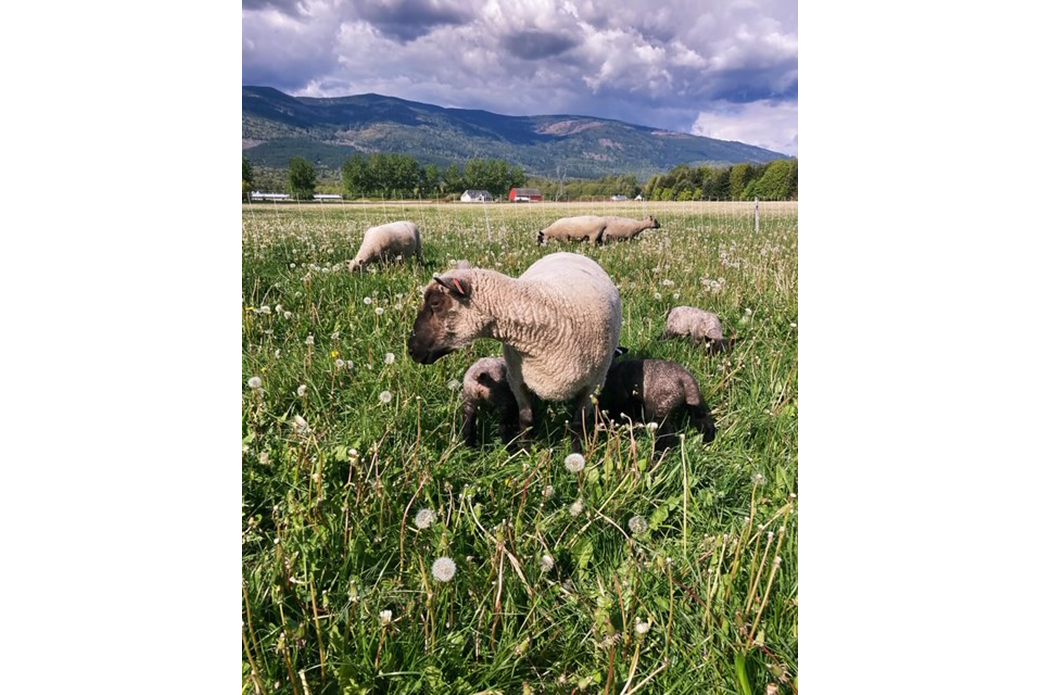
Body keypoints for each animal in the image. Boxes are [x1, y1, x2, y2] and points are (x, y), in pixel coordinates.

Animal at [408, 252, 622, 452]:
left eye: (435, 303)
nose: (411, 349)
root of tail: (567, 252)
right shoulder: (517, 380)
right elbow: (526, 420)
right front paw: (524, 451)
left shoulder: (594, 384)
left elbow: (579, 424)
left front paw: (578, 453)